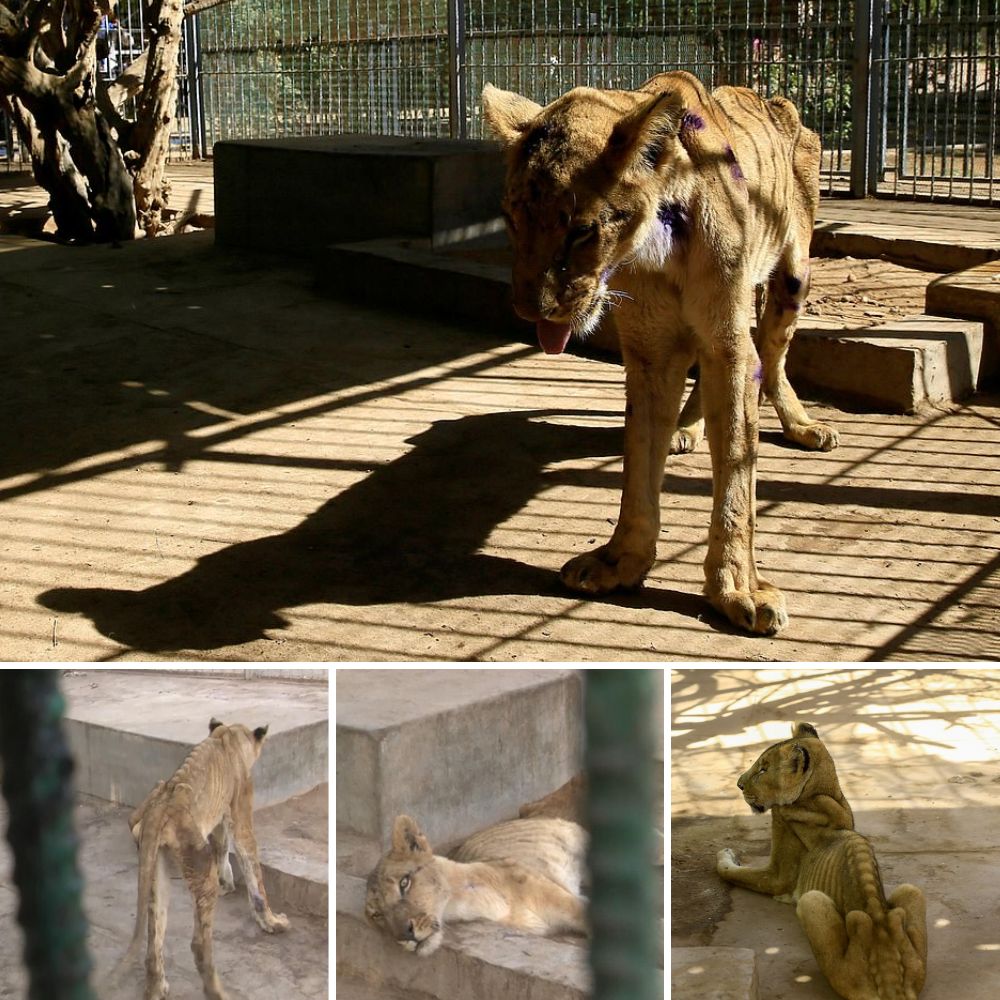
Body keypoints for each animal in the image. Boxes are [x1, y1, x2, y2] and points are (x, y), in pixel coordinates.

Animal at [112, 720, 290, 1000]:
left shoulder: (218, 819)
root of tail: (159, 809)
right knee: (198, 944)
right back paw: (217, 992)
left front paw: (228, 882)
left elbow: (222, 847)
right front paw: (272, 922)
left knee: (154, 937)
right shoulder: (241, 815)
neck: (228, 734)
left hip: (157, 872)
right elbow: (253, 872)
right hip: (201, 868)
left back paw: (156, 988)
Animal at [480, 72, 840, 632]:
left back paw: (802, 425)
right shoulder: (649, 351)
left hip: (794, 272)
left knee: (773, 352)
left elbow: (737, 466)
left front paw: (738, 589)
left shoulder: (728, 343)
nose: (529, 308)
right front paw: (620, 562)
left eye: (581, 230)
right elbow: (639, 457)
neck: (654, 249)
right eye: (513, 219)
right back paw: (687, 430)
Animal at [716, 724, 924, 1000]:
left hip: (811, 902)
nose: (738, 785)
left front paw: (724, 854)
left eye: (763, 769)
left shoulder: (777, 875)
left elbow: (731, 872)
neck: (821, 794)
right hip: (912, 894)